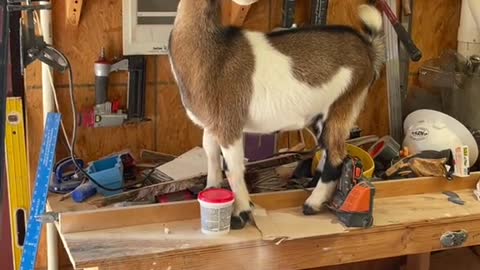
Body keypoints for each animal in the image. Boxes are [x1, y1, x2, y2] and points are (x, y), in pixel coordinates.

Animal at [167, 0, 384, 230]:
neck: (214, 53)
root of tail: (368, 48)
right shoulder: (211, 125)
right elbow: (212, 158)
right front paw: (211, 191)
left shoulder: (229, 123)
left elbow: (233, 168)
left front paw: (240, 214)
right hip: (320, 117)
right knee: (327, 149)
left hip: (342, 105)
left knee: (337, 154)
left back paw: (312, 204)